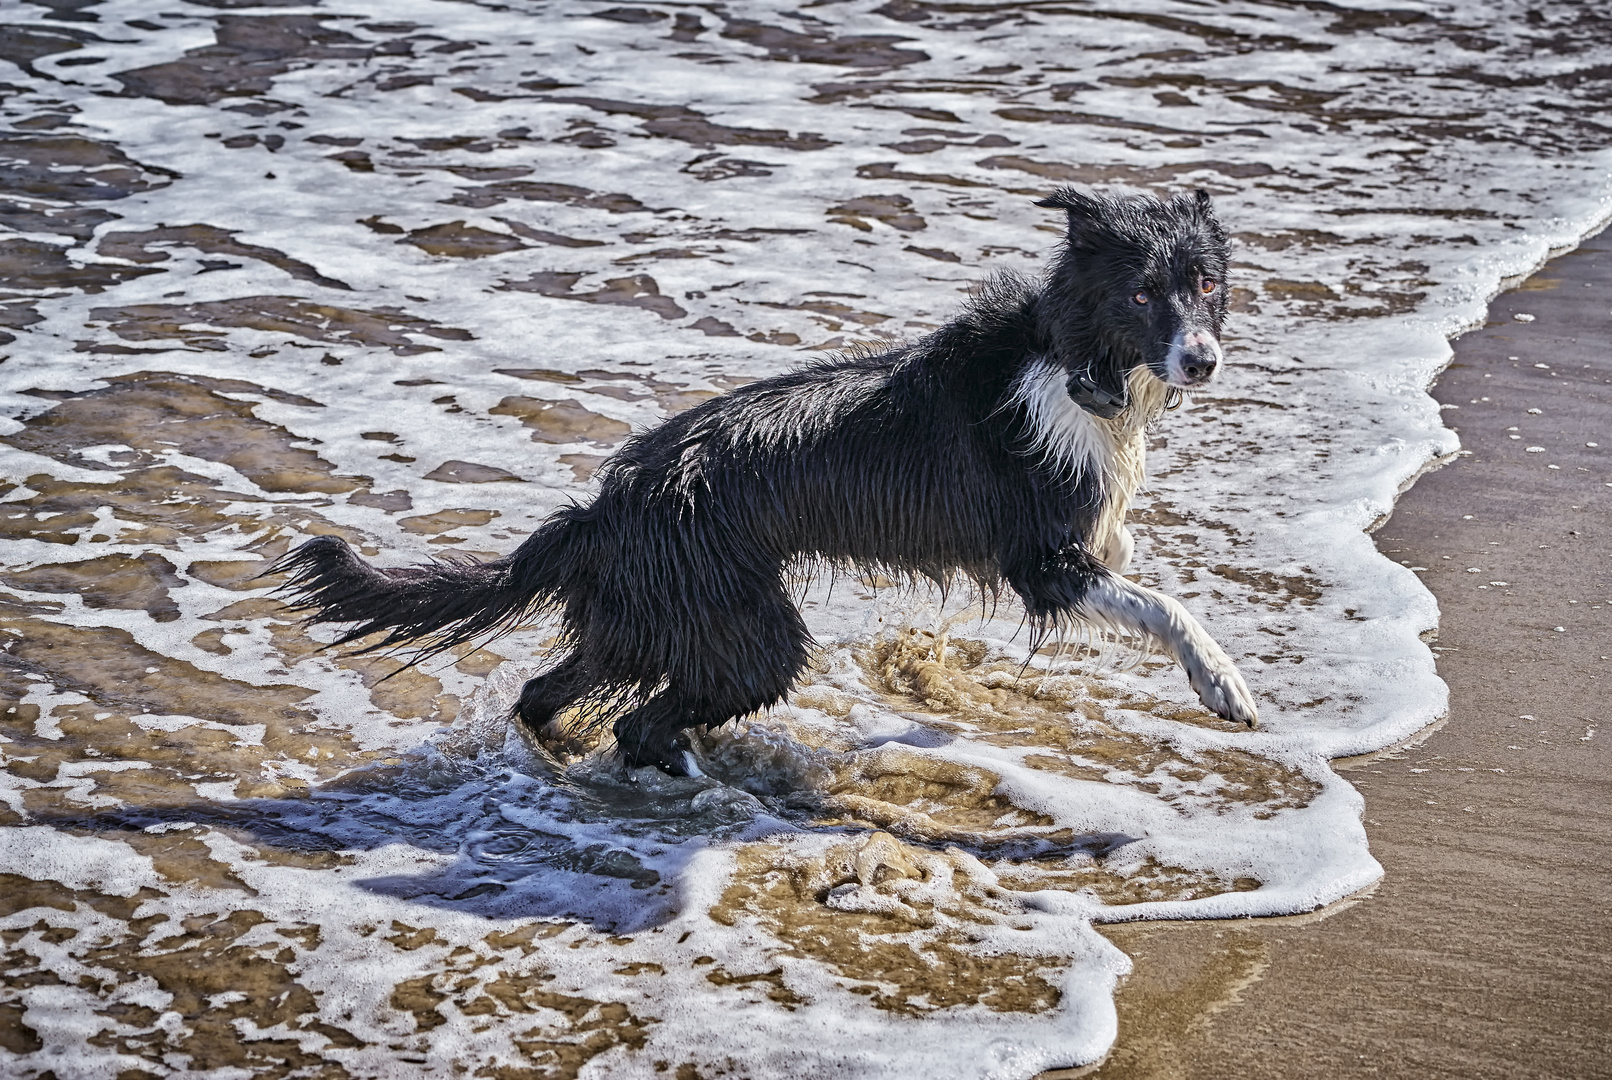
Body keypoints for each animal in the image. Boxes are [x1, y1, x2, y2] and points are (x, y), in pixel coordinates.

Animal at [280, 188, 1257, 780]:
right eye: (1141, 293)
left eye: (1205, 281)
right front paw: (1224, 684)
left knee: (554, 694)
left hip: (650, 625)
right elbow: (1165, 605)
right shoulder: (1042, 562)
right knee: (640, 721)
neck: (1072, 361)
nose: (1202, 361)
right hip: (748, 632)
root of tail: (603, 508)